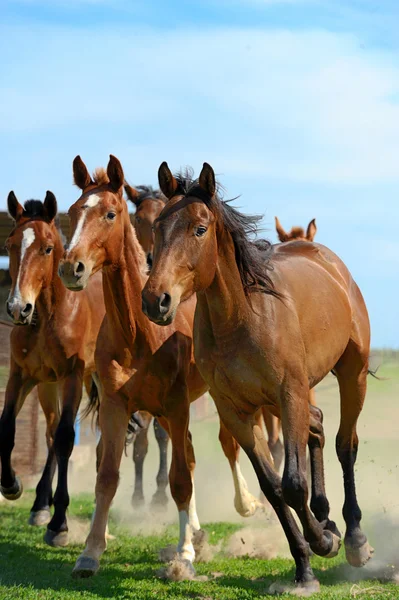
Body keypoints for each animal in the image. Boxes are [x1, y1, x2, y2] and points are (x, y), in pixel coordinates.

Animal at [0, 190, 105, 548]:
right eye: (10, 244)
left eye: (47, 248)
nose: (18, 308)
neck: (48, 316)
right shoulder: (21, 375)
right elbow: (7, 428)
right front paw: (12, 485)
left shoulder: (72, 377)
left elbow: (65, 439)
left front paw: (60, 524)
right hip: (48, 384)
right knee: (48, 429)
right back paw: (39, 505)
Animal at [141, 162, 376, 592]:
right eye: (157, 227)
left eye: (200, 229)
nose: (155, 300)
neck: (240, 318)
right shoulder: (237, 412)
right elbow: (274, 487)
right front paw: (305, 564)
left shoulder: (289, 394)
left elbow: (293, 483)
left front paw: (324, 542)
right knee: (317, 428)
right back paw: (326, 516)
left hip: (350, 375)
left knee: (344, 444)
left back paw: (353, 538)